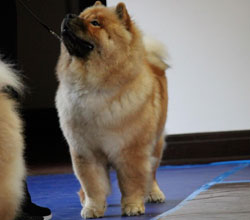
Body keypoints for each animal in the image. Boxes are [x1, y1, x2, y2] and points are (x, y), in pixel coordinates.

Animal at [56, 1, 169, 218]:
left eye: (95, 23)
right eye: (82, 15)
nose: (68, 16)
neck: (93, 88)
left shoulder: (130, 151)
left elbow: (131, 182)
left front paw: (133, 206)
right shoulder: (85, 152)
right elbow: (93, 185)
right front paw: (92, 208)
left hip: (155, 145)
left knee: (151, 173)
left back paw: (154, 193)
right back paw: (84, 200)